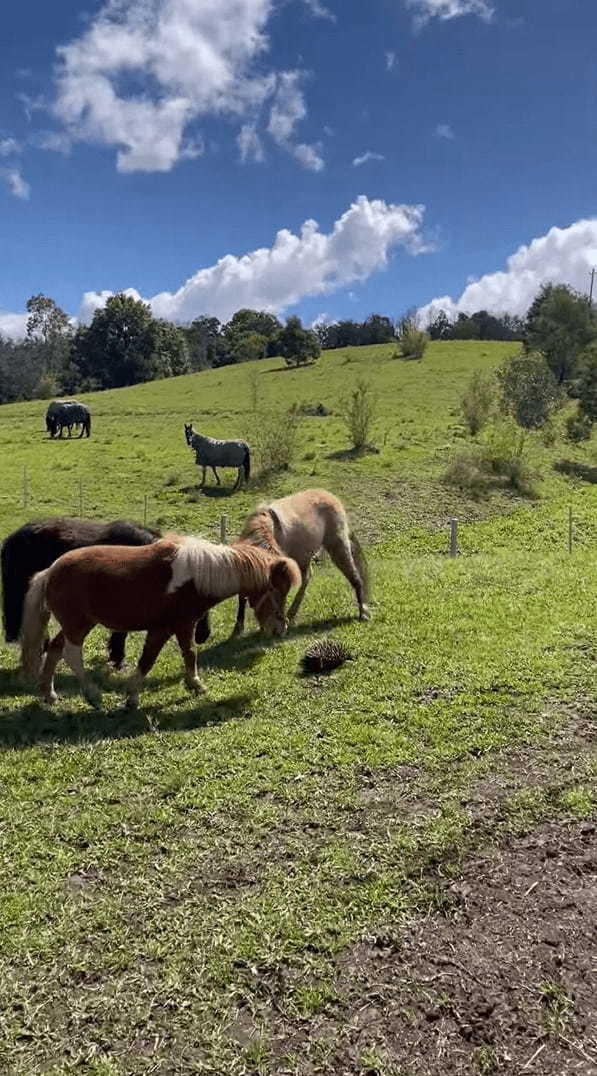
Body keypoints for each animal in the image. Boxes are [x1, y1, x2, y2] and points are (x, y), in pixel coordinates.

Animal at [20, 535, 301, 705]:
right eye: (276, 590)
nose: (280, 628)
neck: (196, 576)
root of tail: (50, 571)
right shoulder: (166, 628)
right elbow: (150, 659)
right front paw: (133, 696)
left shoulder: (182, 626)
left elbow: (189, 653)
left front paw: (194, 684)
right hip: (79, 626)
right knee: (71, 654)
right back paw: (92, 694)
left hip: (74, 625)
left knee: (54, 649)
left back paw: (49, 693)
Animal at [229, 490, 370, 636]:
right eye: (272, 590)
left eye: (284, 592)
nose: (279, 629)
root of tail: (330, 496)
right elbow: (242, 596)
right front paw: (238, 629)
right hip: (304, 557)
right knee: (307, 578)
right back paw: (292, 613)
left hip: (337, 547)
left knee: (354, 576)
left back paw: (363, 612)